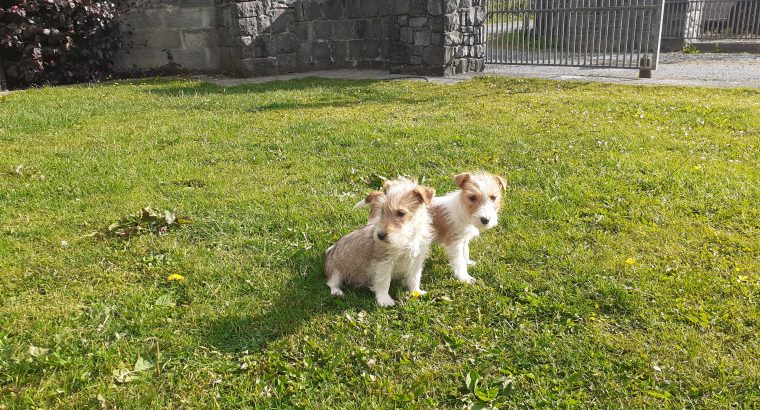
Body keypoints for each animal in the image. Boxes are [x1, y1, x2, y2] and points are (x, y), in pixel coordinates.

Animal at [324, 178, 436, 306]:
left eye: (401, 213)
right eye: (382, 211)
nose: (380, 235)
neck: (406, 237)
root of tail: (332, 249)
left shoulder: (416, 260)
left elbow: (414, 278)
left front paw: (416, 292)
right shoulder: (384, 262)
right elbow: (384, 282)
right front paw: (384, 299)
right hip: (335, 269)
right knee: (331, 282)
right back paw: (337, 292)